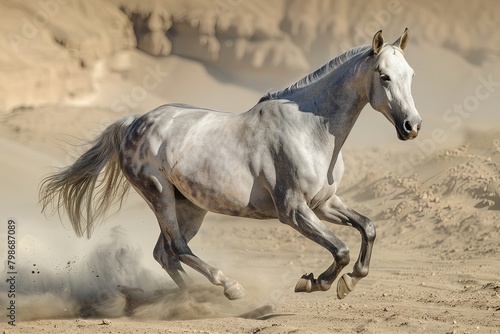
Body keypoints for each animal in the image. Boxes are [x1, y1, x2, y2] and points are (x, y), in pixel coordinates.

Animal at [40, 28, 422, 300]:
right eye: (384, 76)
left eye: (411, 74)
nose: (412, 126)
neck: (309, 131)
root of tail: (134, 121)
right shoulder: (294, 211)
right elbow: (341, 250)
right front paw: (316, 283)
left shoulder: (324, 204)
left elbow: (368, 228)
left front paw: (351, 280)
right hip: (159, 195)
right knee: (177, 248)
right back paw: (228, 287)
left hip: (189, 206)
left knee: (165, 254)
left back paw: (195, 298)